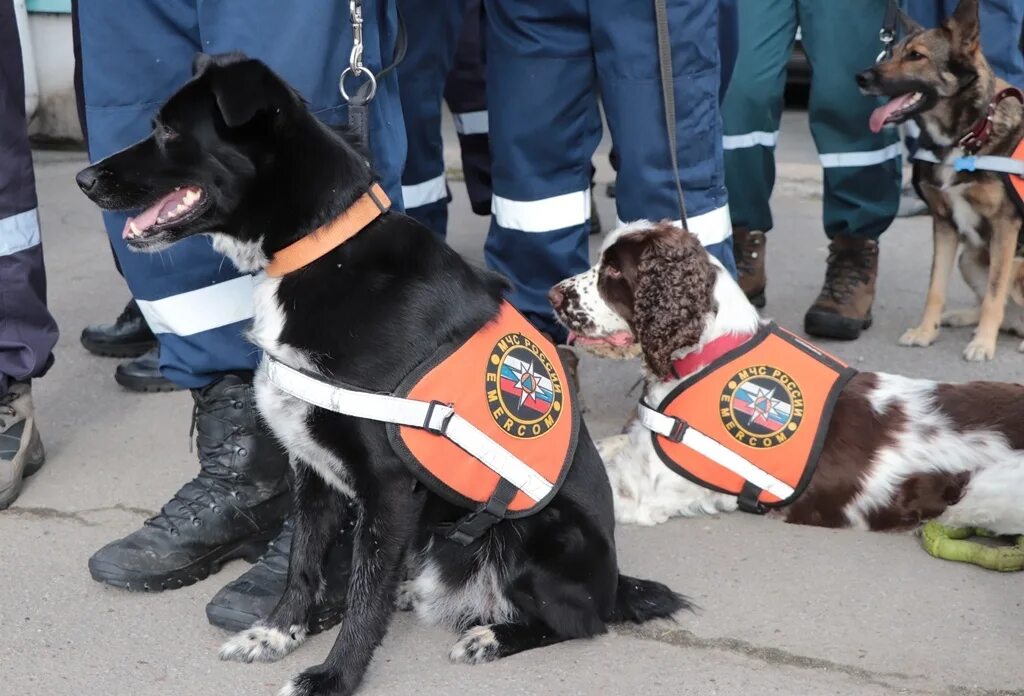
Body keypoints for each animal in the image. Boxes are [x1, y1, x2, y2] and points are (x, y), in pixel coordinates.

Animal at [75, 54, 688, 696]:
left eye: (169, 131)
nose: (84, 179)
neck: (322, 250)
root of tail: (613, 582)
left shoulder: (389, 486)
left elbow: (361, 598)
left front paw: (334, 676)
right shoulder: (310, 468)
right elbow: (302, 561)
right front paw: (277, 633)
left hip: (539, 536)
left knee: (579, 622)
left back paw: (492, 636)